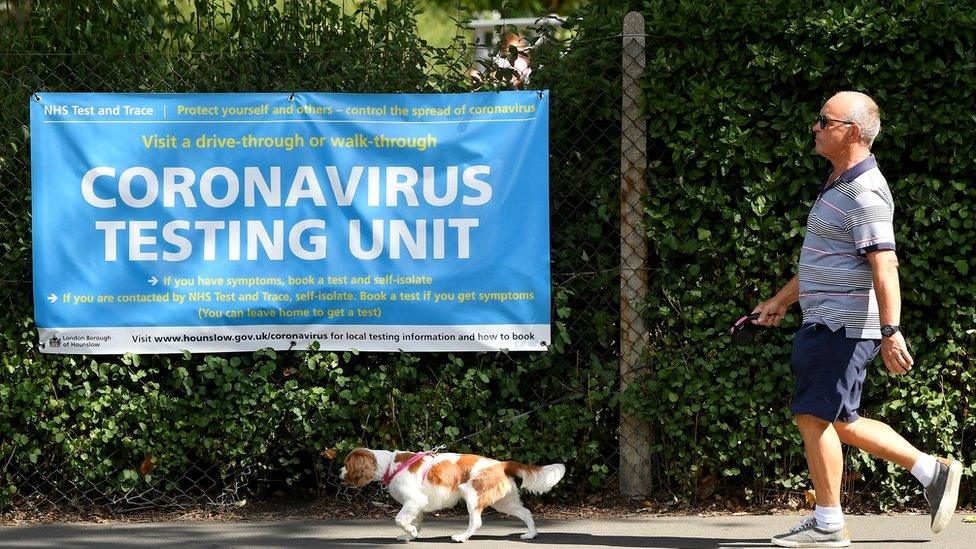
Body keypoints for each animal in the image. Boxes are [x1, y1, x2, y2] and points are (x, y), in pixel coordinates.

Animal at [342, 448, 564, 540]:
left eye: (346, 464)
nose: (338, 472)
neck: (390, 465)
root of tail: (501, 464)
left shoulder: (414, 500)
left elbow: (400, 519)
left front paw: (410, 532)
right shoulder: (418, 504)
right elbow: (413, 521)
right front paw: (409, 536)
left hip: (472, 494)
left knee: (477, 522)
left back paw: (461, 537)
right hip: (503, 501)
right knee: (526, 512)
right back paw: (531, 534)